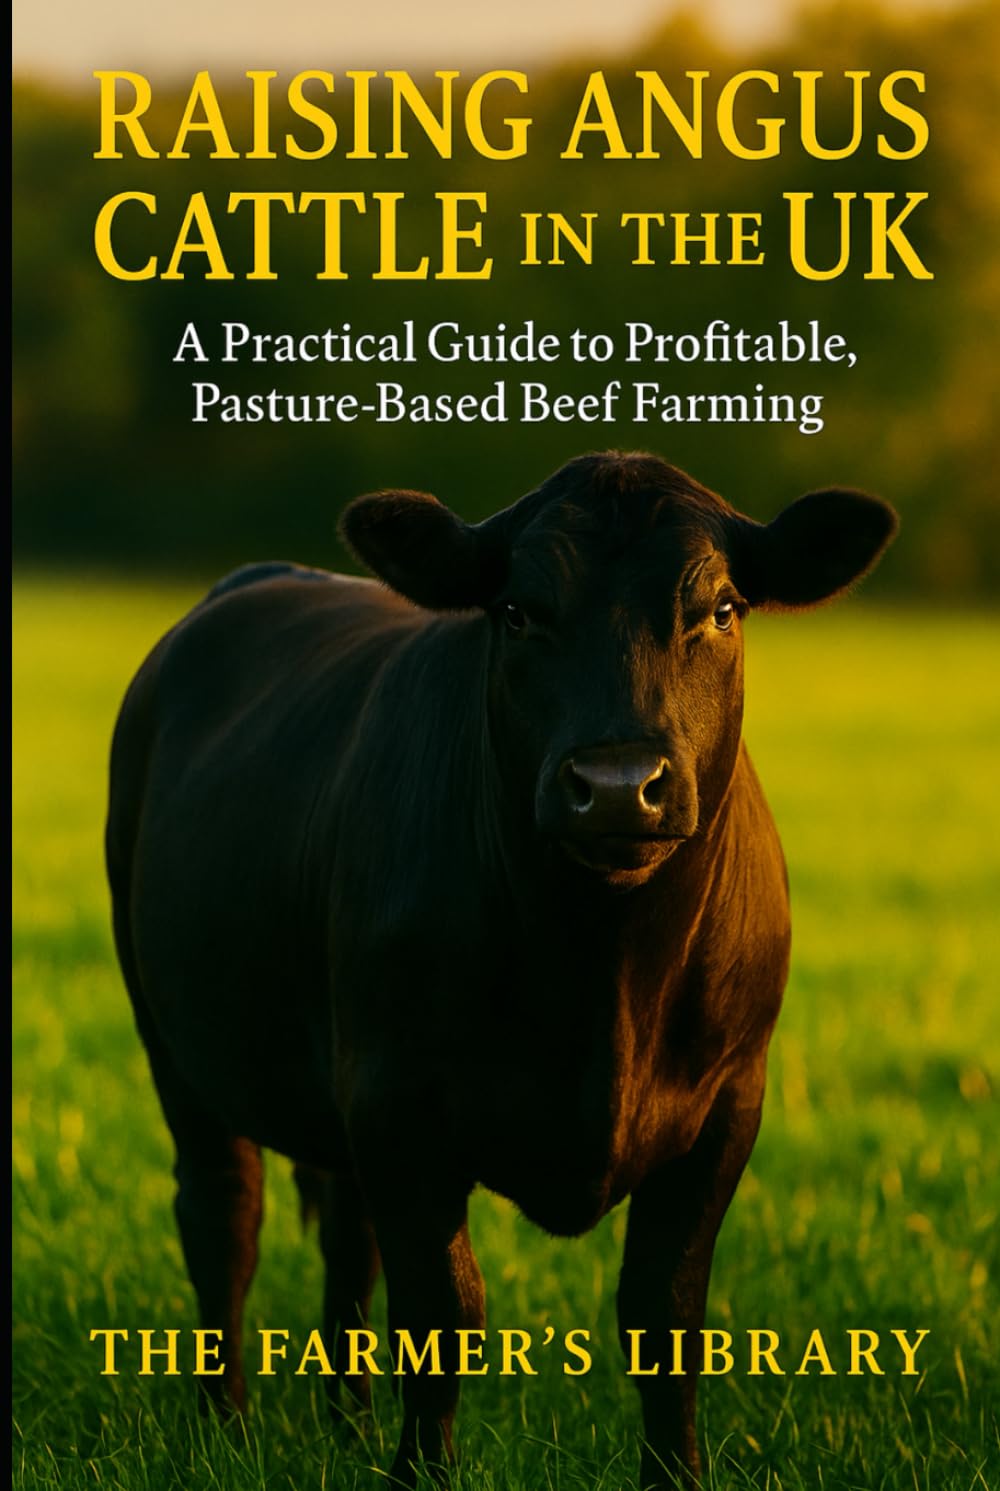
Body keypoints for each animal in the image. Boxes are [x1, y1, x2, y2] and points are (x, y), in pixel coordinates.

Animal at [105, 451, 897, 1488]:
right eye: (518, 610)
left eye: (722, 609)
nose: (617, 784)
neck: (604, 979)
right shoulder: (402, 1104)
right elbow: (442, 1314)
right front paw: (421, 1473)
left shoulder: (730, 1103)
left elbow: (667, 1317)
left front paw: (676, 1475)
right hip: (176, 1039)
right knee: (222, 1214)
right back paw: (225, 1427)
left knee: (346, 1237)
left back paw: (346, 1426)